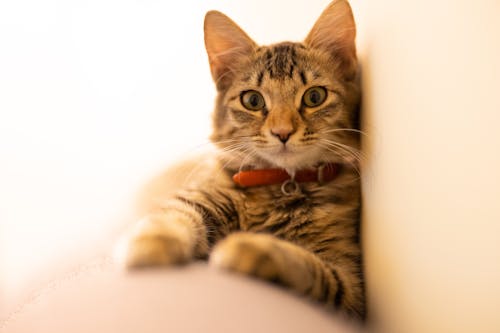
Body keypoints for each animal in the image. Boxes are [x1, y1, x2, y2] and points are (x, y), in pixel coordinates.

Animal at [121, 0, 364, 318]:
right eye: (253, 101)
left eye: (314, 97)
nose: (282, 132)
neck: (282, 186)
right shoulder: (201, 196)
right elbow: (172, 214)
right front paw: (151, 243)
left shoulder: (349, 280)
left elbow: (305, 265)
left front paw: (250, 248)